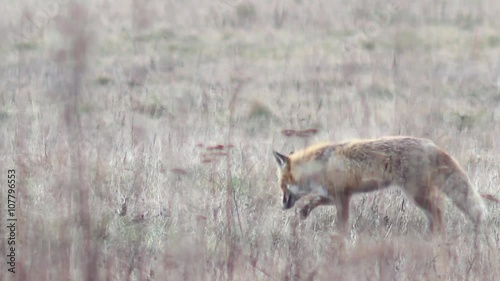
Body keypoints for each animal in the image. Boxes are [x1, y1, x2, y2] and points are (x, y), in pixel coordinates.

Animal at [272, 136, 498, 232]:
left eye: (282, 186)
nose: (282, 205)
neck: (320, 165)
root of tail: (430, 144)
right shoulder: (338, 194)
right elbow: (315, 200)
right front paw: (304, 211)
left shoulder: (342, 197)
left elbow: (341, 222)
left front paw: (339, 239)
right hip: (420, 196)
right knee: (434, 214)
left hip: (417, 194)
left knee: (439, 211)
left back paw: (436, 237)